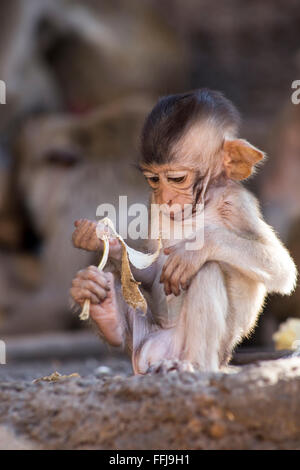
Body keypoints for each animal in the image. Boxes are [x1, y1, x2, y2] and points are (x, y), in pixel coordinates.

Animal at [71, 89, 298, 374]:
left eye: (177, 179)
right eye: (153, 180)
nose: (166, 198)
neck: (200, 206)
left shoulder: (238, 205)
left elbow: (281, 269)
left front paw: (194, 250)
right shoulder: (153, 206)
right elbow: (151, 270)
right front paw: (100, 238)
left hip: (209, 352)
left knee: (208, 270)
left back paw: (191, 364)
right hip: (145, 338)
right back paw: (104, 311)